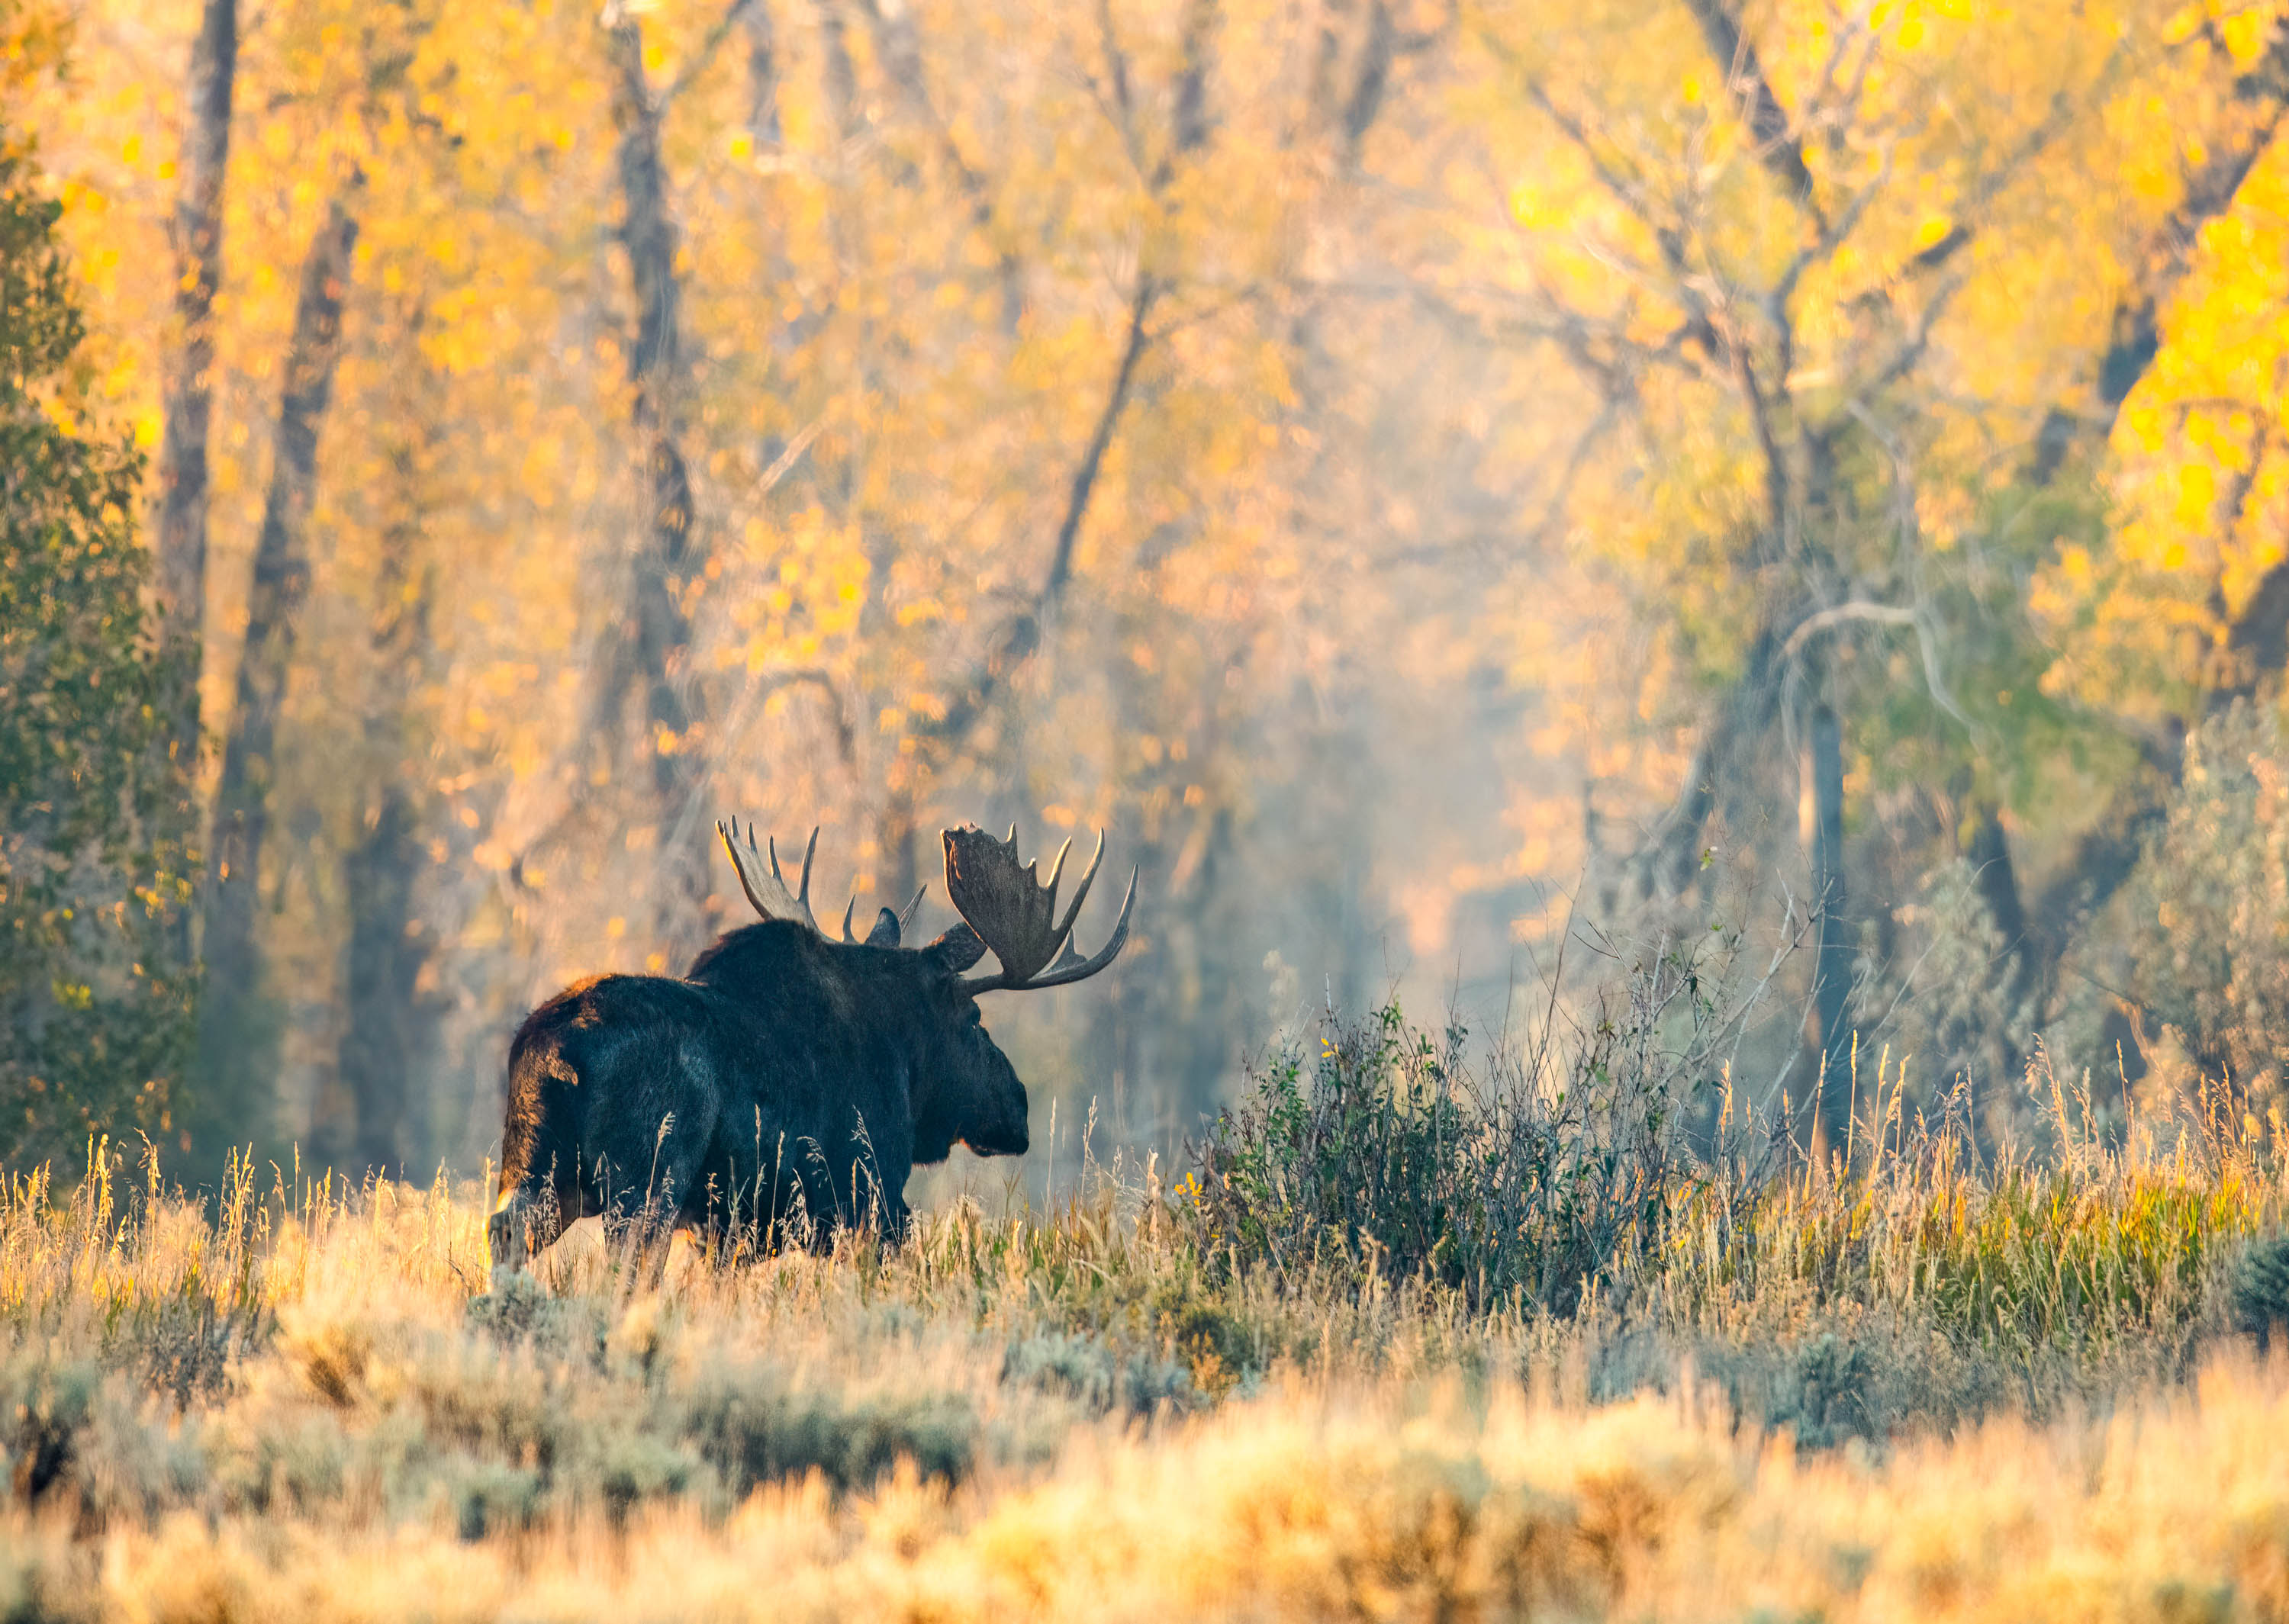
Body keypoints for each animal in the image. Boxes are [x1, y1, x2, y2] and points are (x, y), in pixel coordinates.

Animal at [488, 818, 1131, 1281]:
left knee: (503, 1234)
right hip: (645, 1177)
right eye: (974, 1019)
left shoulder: (735, 1229)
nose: (1017, 1105)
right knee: (622, 1269)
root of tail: (555, 1052)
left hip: (539, 1168)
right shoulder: (868, 1196)